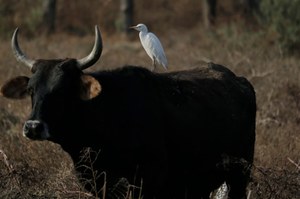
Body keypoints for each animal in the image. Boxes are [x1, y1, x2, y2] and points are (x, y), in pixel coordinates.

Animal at [1, 26, 256, 199]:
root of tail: (239, 80)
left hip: (239, 175)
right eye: (31, 89)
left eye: (62, 89)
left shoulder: (149, 179)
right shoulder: (98, 181)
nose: (33, 127)